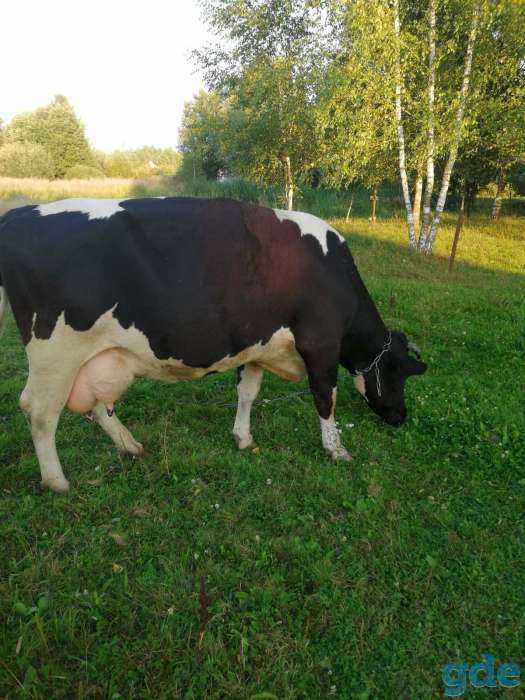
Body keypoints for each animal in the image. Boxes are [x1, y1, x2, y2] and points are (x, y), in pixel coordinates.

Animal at [0, 197, 426, 492]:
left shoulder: (258, 345)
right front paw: (336, 450)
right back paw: (57, 481)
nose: (401, 417)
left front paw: (243, 438)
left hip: (100, 356)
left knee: (96, 406)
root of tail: (18, 215)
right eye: (398, 375)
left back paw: (131, 446)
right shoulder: (320, 344)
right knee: (40, 412)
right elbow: (326, 398)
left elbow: (248, 392)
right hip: (56, 353)